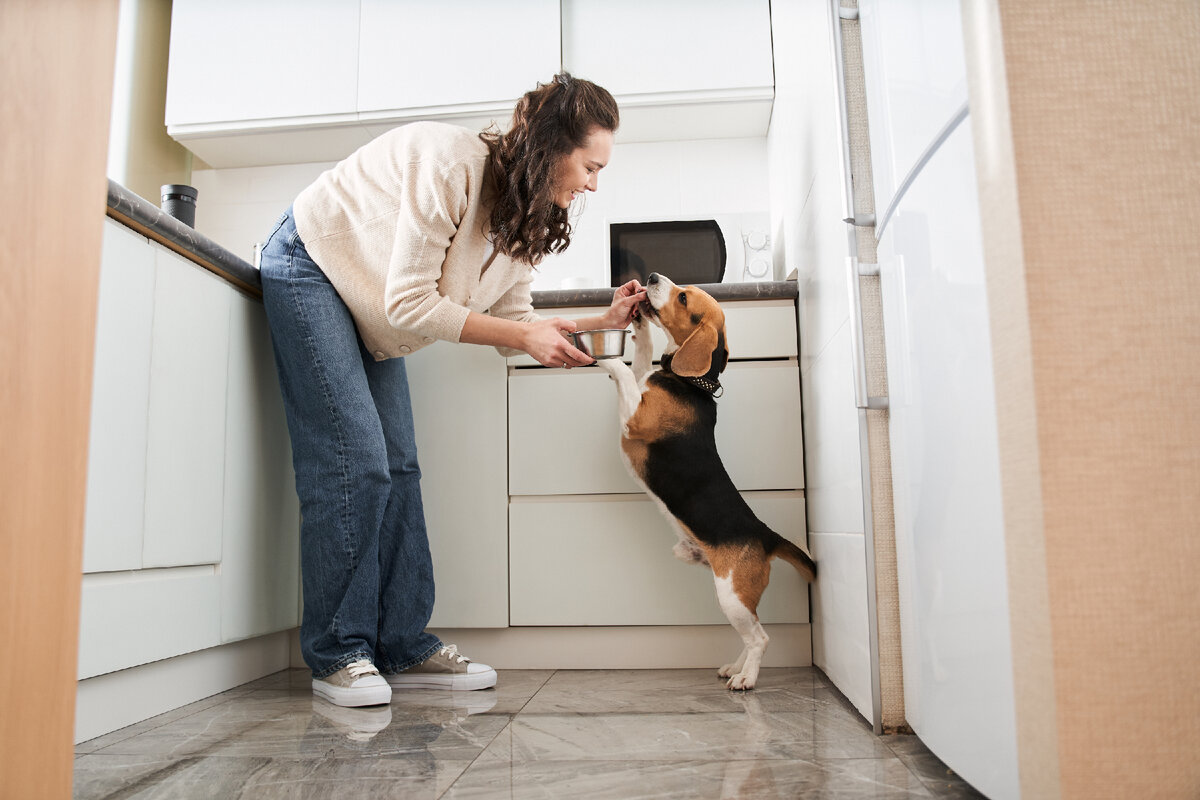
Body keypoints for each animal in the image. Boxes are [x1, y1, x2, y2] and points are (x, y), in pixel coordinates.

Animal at [597, 273, 816, 690]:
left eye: (683, 297)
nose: (652, 278)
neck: (691, 382)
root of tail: (766, 536)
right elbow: (642, 356)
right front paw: (639, 325)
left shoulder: (635, 418)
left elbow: (625, 373)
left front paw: (608, 358)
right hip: (734, 599)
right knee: (751, 636)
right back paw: (737, 668)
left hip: (731, 595)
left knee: (761, 638)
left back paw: (747, 680)